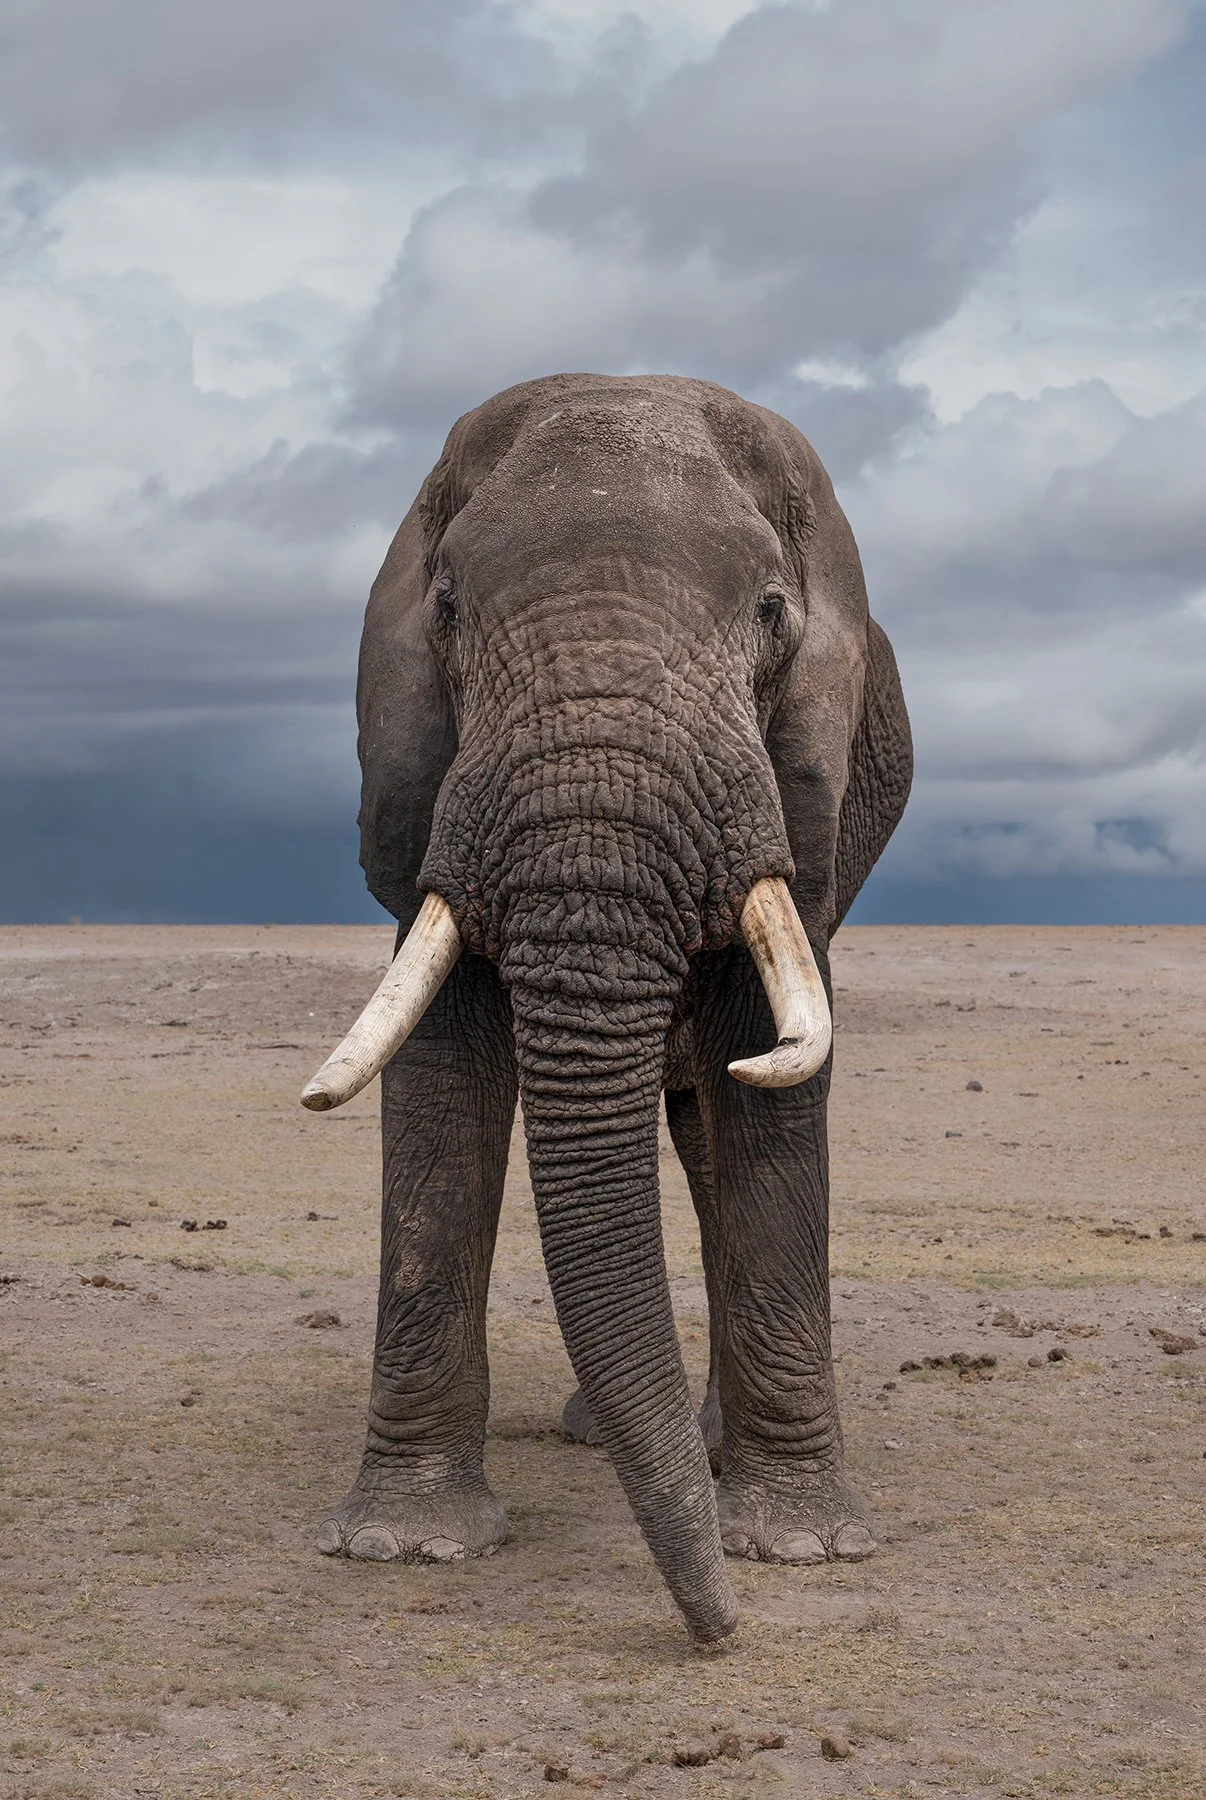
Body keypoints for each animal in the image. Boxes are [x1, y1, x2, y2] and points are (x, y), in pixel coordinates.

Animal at [301, 373, 912, 1643]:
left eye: (772, 613)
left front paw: (798, 1548)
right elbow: (440, 1080)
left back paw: (707, 1454)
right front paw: (403, 1544)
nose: (719, 1630)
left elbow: (769, 1082)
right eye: (445, 607)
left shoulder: (797, 791)